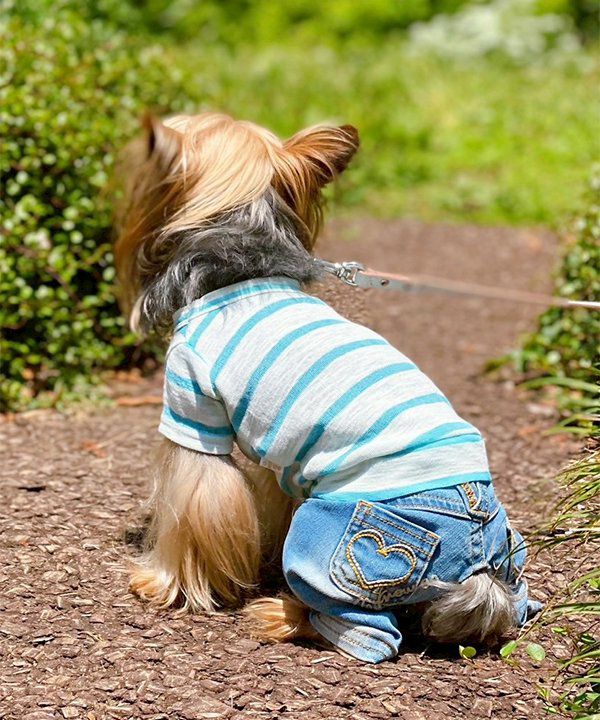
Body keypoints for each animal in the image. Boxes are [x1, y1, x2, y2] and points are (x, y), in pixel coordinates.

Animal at [115, 112, 540, 663]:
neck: (241, 262)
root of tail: (479, 563)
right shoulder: (283, 461)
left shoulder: (192, 408)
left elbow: (194, 502)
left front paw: (159, 582)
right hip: (511, 557)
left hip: (346, 541)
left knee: (371, 631)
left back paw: (282, 614)